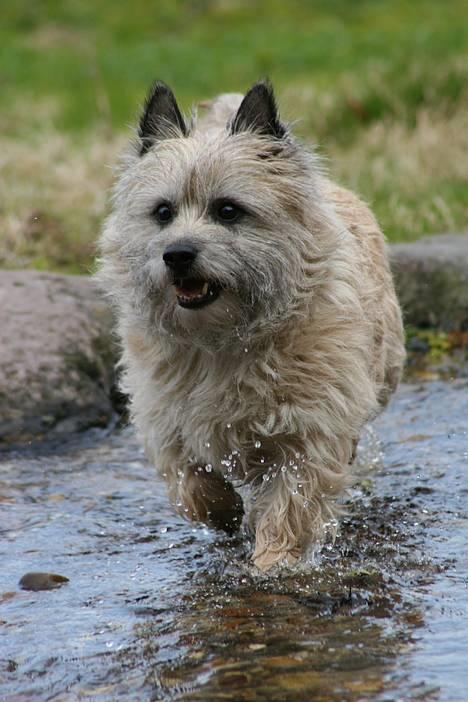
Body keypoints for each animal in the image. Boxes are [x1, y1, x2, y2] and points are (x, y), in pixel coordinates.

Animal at [98, 80, 406, 572]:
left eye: (228, 210)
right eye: (163, 212)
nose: (177, 254)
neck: (224, 341)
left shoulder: (309, 428)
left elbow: (291, 501)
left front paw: (271, 564)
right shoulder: (163, 416)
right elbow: (190, 482)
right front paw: (224, 514)